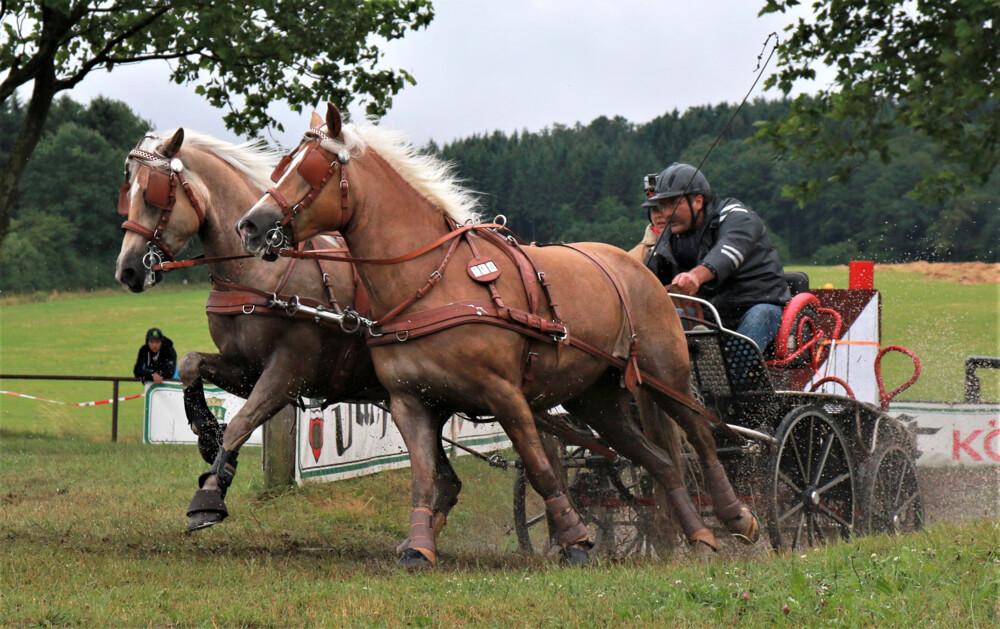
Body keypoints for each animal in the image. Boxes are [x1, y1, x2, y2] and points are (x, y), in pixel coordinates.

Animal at [115, 127, 396, 528]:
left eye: (152, 195)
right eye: (129, 192)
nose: (127, 270)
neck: (259, 274)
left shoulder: (289, 372)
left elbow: (242, 422)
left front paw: (211, 492)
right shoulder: (247, 367)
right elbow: (190, 363)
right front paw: (208, 434)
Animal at [236, 105, 756, 568]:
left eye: (312, 170)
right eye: (282, 166)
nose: (251, 225)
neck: (431, 281)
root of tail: (640, 270)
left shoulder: (505, 394)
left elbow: (541, 469)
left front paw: (574, 540)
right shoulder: (409, 401)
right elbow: (424, 477)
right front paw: (418, 548)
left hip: (665, 374)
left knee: (702, 438)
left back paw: (737, 518)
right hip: (598, 399)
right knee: (660, 461)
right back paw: (700, 536)